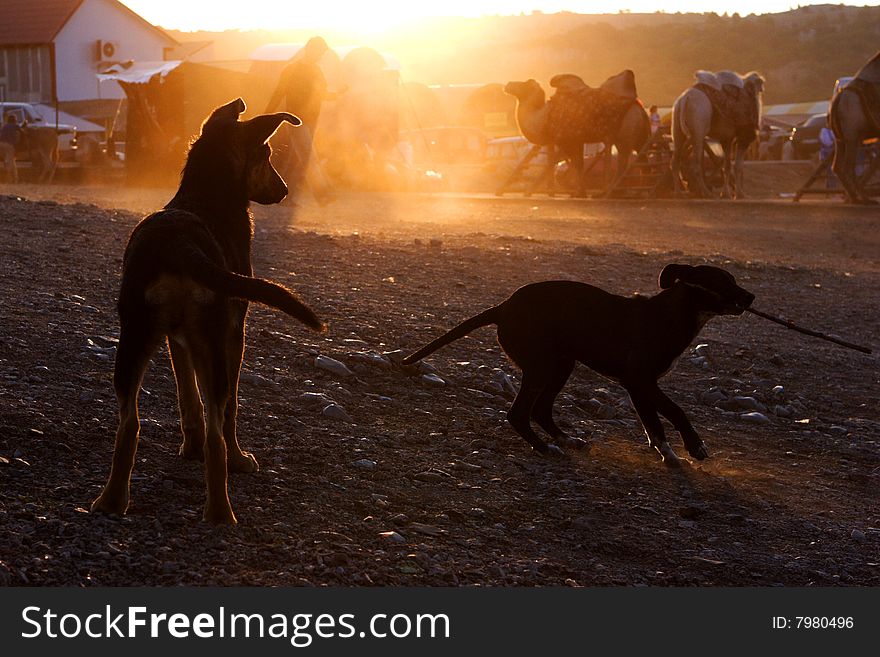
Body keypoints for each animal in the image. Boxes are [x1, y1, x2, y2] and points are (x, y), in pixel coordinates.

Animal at [92, 98, 326, 524]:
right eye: (267, 155)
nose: (284, 190)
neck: (205, 192)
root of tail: (176, 242)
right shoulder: (233, 333)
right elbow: (230, 406)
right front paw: (238, 458)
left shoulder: (177, 339)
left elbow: (188, 394)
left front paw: (191, 446)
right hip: (213, 342)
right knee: (218, 425)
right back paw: (220, 510)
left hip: (132, 340)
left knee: (129, 424)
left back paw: (112, 500)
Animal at [406, 264, 756, 464]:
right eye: (723, 281)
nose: (751, 297)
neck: (673, 314)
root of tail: (503, 307)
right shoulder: (639, 380)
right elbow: (675, 411)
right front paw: (694, 446)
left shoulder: (639, 385)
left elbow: (653, 421)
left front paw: (665, 452)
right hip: (542, 366)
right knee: (519, 413)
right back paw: (544, 448)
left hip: (562, 365)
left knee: (540, 410)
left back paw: (564, 439)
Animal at [502, 71, 652, 196]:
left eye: (524, 84)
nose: (508, 84)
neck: (543, 119)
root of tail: (639, 108)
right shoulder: (577, 139)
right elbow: (578, 164)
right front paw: (579, 192)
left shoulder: (567, 140)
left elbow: (576, 164)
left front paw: (578, 192)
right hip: (640, 136)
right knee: (642, 160)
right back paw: (640, 192)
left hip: (624, 134)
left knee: (624, 162)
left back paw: (612, 192)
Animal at [828, 51, 880, 202]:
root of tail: (837, 101)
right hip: (852, 136)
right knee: (848, 166)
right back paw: (860, 198)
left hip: (840, 139)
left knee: (837, 166)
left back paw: (856, 196)